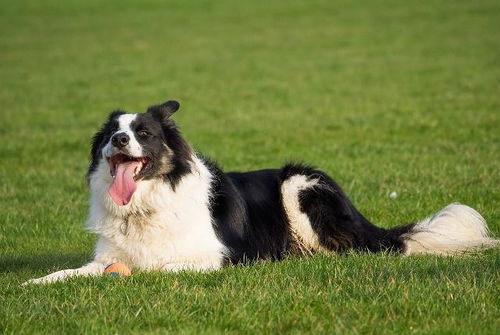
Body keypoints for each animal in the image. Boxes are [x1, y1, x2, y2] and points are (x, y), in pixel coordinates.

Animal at [25, 101, 498, 284]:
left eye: (144, 133)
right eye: (112, 134)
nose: (120, 141)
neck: (147, 205)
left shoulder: (221, 256)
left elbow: (162, 268)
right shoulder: (106, 258)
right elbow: (70, 272)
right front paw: (34, 282)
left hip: (299, 184)